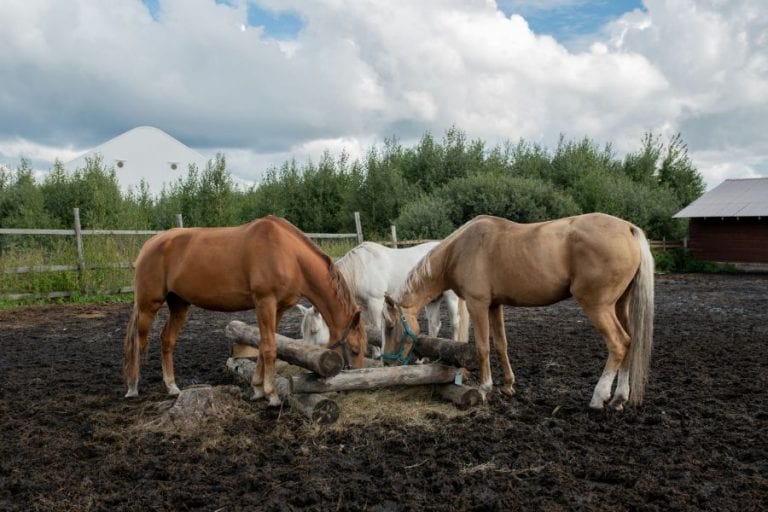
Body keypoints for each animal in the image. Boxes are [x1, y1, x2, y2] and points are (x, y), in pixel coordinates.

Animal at [122, 215, 367, 406]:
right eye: (354, 349)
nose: (354, 383)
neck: (288, 254)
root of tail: (151, 243)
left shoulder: (279, 308)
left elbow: (263, 345)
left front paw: (258, 389)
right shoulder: (265, 303)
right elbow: (269, 348)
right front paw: (271, 395)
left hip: (179, 306)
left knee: (167, 340)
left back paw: (172, 387)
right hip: (148, 306)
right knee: (138, 343)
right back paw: (132, 388)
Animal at [297, 241, 469, 352]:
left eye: (314, 330)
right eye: (302, 332)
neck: (359, 269)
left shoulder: (375, 302)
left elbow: (376, 327)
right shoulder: (364, 306)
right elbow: (368, 328)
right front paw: (375, 353)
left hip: (451, 297)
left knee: (455, 322)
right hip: (432, 299)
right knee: (434, 325)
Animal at [382, 213, 654, 410]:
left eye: (390, 326)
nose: (386, 362)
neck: (459, 250)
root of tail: (628, 228)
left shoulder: (477, 304)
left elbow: (483, 347)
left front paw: (485, 388)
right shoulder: (495, 305)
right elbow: (502, 345)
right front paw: (508, 386)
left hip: (597, 306)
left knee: (619, 343)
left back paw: (599, 398)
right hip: (619, 306)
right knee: (630, 341)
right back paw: (619, 398)